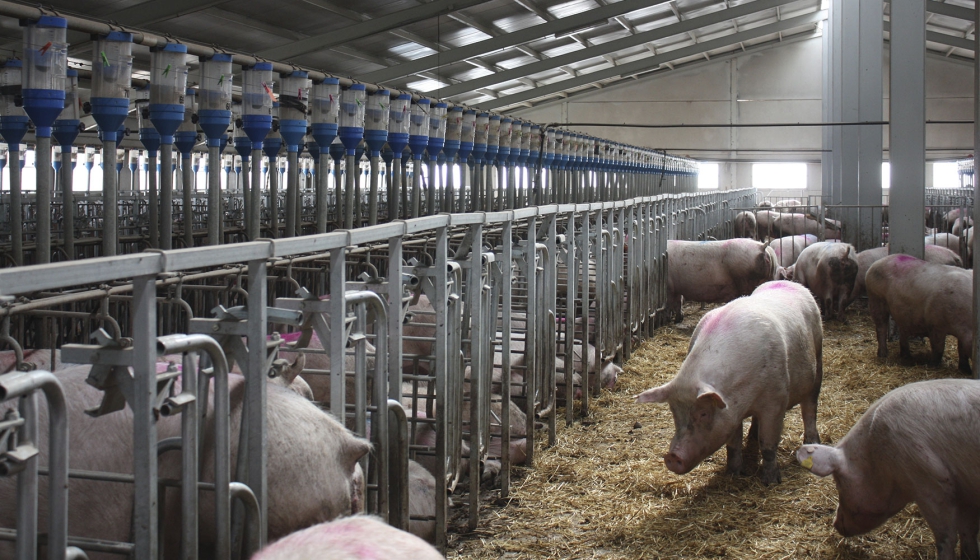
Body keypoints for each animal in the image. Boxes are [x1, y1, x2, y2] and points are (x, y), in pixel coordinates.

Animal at [632, 282, 824, 484]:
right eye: (673, 411)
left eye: (703, 413)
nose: (672, 457)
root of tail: (792, 283)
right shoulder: (732, 412)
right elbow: (733, 443)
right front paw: (733, 473)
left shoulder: (776, 400)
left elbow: (768, 443)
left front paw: (771, 482)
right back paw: (752, 438)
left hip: (818, 358)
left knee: (810, 407)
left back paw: (812, 442)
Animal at [796, 380, 980, 560]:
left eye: (838, 483)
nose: (835, 523)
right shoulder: (965, 496)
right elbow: (968, 533)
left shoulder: (931, 482)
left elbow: (946, 539)